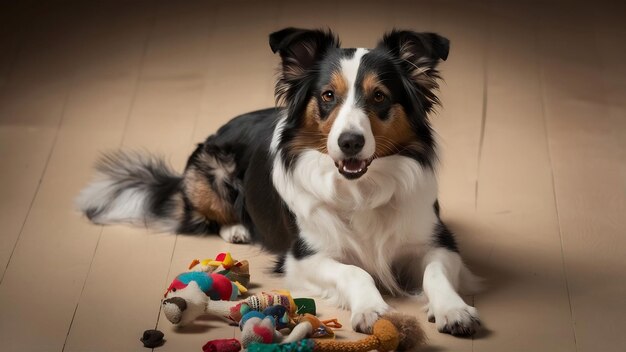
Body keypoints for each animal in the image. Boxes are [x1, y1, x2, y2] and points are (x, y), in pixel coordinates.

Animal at [77, 26, 478, 336]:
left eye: (379, 96)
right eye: (327, 95)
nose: (350, 142)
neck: (359, 188)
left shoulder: (437, 241)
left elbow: (435, 273)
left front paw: (453, 309)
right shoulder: (303, 257)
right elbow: (354, 272)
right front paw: (372, 308)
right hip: (210, 169)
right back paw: (237, 229)